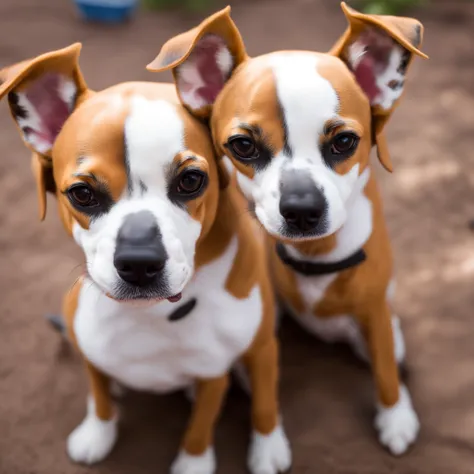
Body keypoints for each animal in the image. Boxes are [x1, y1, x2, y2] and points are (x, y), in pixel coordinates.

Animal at [0, 44, 292, 474]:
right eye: (82, 193)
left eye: (190, 180)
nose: (139, 263)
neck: (155, 317)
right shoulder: (90, 354)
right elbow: (99, 398)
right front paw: (97, 433)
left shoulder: (214, 373)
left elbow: (200, 427)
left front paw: (193, 463)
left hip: (262, 346)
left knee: (266, 395)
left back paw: (269, 445)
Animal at [149, 2, 430, 456]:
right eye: (243, 145)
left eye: (344, 141)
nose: (301, 210)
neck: (317, 256)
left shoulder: (374, 311)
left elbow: (386, 367)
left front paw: (395, 415)